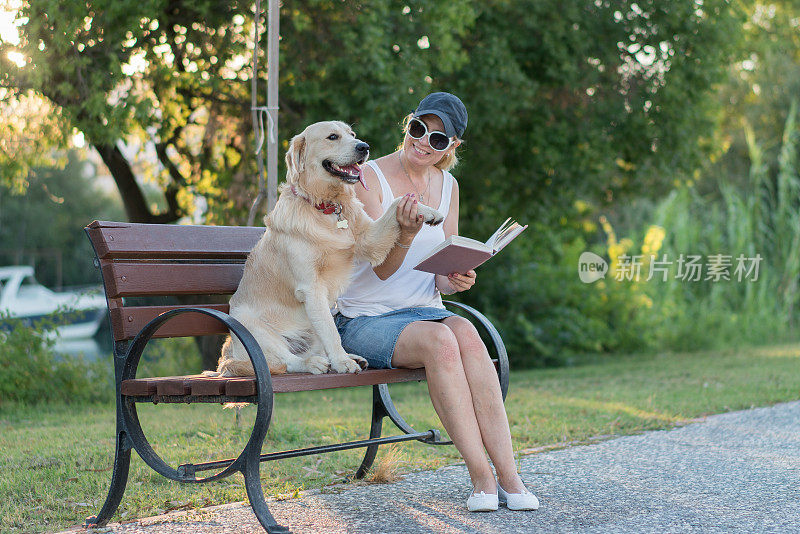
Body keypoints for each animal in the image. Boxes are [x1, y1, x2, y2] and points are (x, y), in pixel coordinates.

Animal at [209, 123, 444, 378]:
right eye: (332, 137)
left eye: (352, 135)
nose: (364, 147)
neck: (326, 207)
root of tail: (228, 354)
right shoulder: (311, 288)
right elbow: (331, 332)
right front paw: (342, 362)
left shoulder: (369, 238)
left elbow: (397, 202)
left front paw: (429, 211)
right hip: (252, 325)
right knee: (286, 361)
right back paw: (314, 363)